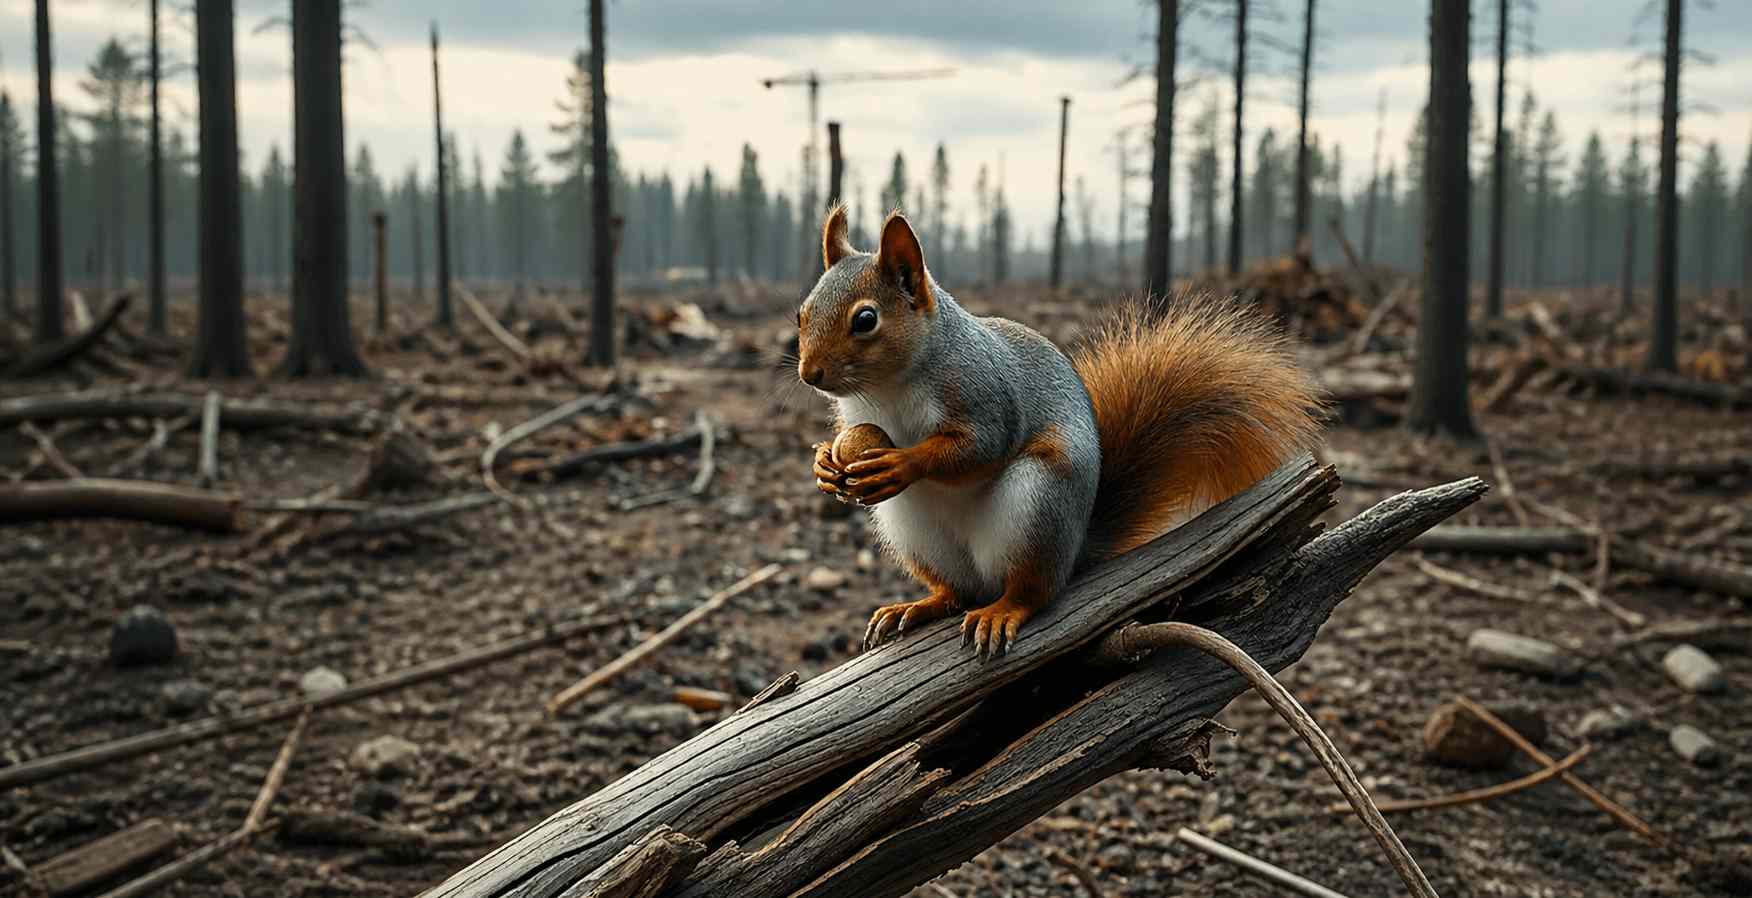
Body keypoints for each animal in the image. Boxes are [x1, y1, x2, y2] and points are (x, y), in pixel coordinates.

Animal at [799, 205, 1324, 658]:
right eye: (803, 312)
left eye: (866, 319)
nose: (809, 374)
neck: (888, 387)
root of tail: (1075, 551)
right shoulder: (855, 415)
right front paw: (824, 464)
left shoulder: (984, 397)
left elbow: (978, 448)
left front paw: (902, 461)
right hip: (912, 529)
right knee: (955, 592)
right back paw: (917, 606)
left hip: (1038, 501)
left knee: (1034, 591)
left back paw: (1003, 610)